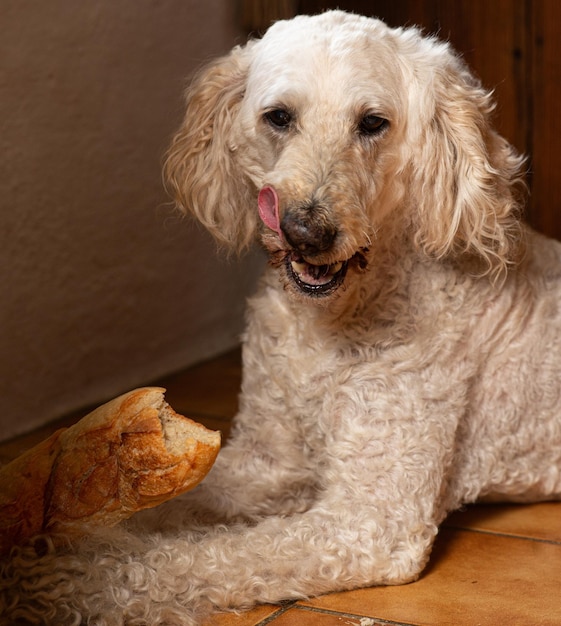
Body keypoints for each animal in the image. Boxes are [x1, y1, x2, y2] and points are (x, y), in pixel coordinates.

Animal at [3, 9, 560, 624]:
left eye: (373, 123)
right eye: (279, 117)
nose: (306, 231)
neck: (323, 327)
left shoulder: (368, 523)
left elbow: (199, 557)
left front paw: (59, 578)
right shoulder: (264, 463)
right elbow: (170, 507)